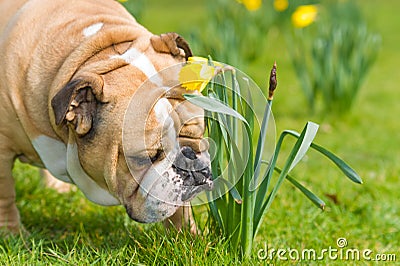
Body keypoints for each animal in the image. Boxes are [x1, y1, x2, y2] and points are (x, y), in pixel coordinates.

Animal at [0, 0, 212, 233]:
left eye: (197, 134)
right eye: (144, 158)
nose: (190, 159)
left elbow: (180, 210)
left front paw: (188, 236)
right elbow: (5, 196)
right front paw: (12, 233)